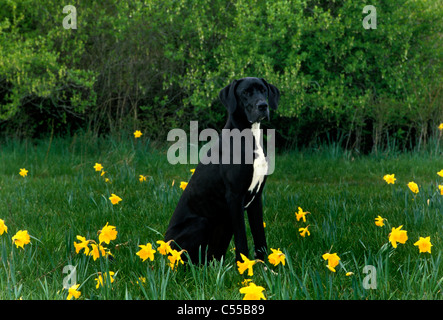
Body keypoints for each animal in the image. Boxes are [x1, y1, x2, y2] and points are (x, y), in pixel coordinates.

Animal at [165, 77, 280, 262]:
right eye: (245, 92)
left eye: (263, 90)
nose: (263, 105)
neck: (250, 137)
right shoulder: (235, 196)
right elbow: (242, 241)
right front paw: (244, 266)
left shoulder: (256, 198)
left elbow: (260, 237)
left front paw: (265, 266)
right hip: (201, 223)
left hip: (225, 227)